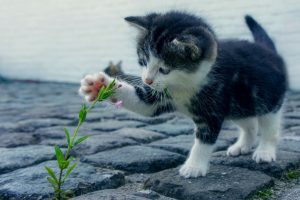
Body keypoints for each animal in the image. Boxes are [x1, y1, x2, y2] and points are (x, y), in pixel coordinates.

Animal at [78, 10, 288, 177]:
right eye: (143, 61)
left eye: (164, 69)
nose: (147, 80)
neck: (185, 84)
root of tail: (269, 51)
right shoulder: (159, 96)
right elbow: (143, 103)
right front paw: (99, 85)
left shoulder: (213, 107)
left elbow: (204, 139)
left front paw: (194, 167)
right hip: (239, 104)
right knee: (249, 123)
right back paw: (242, 145)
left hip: (268, 99)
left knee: (269, 126)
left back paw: (265, 151)